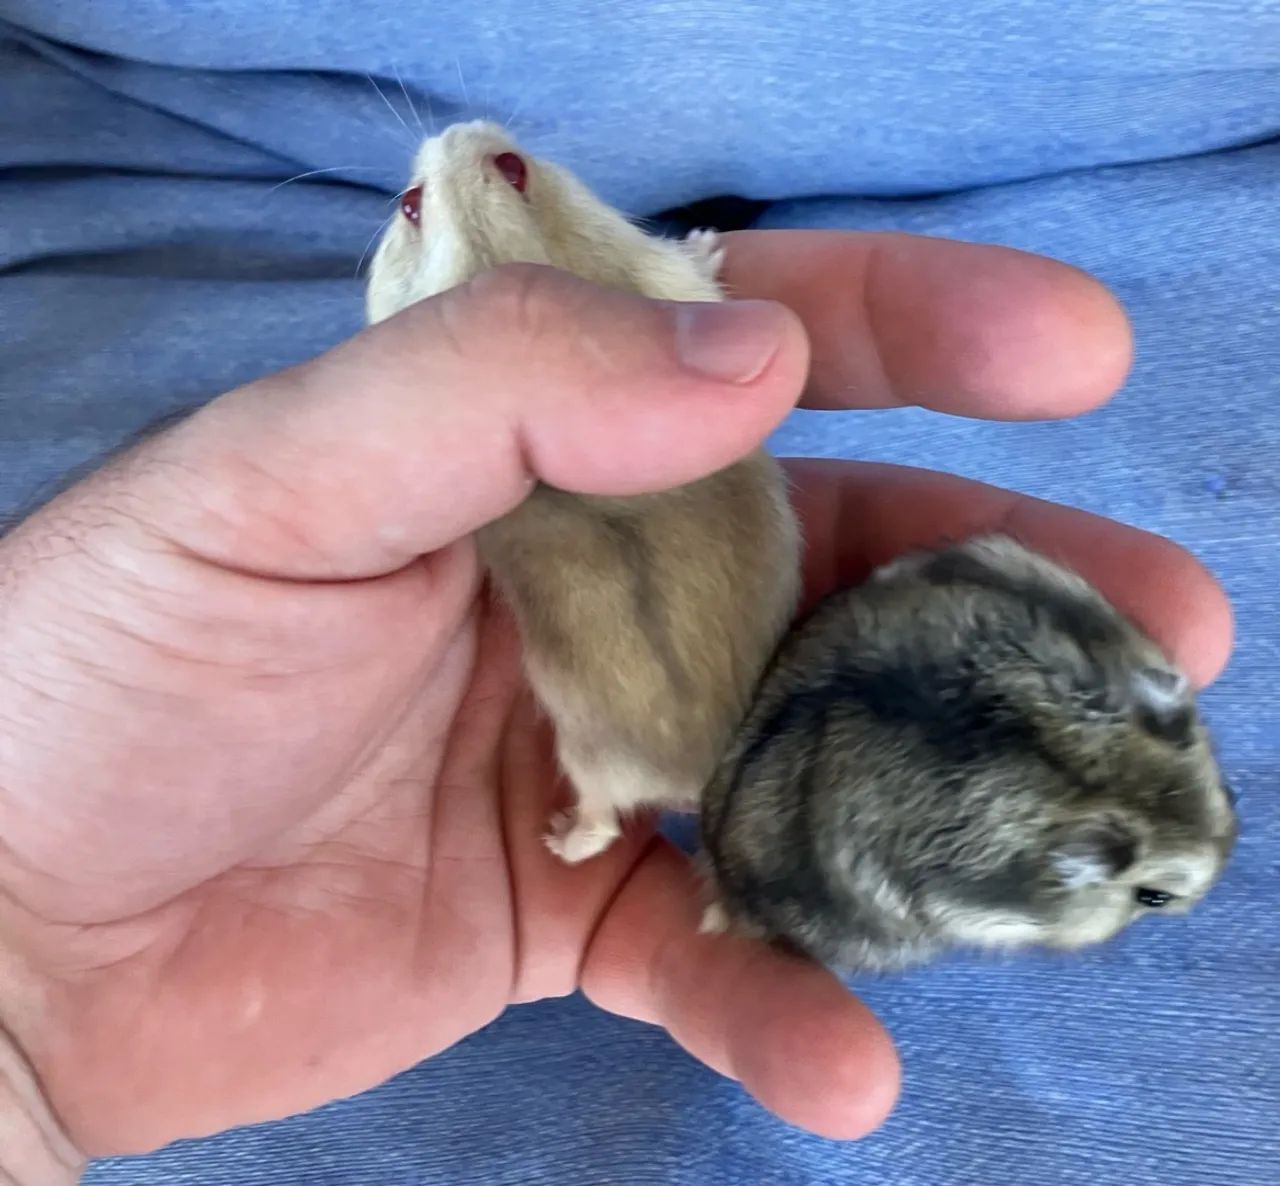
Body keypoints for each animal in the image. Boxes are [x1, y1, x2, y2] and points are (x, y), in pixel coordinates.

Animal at [365, 121, 801, 863]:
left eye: (410, 205)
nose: (457, 126)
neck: (504, 246)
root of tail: (696, 779)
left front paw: (705, 236)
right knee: (604, 826)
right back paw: (559, 840)